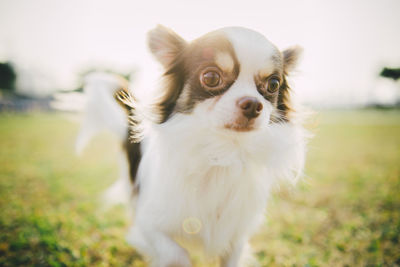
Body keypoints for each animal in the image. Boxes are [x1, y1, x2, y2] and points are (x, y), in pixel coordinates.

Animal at [79, 25, 310, 267]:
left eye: (273, 84)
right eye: (211, 77)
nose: (253, 104)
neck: (221, 152)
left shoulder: (235, 237)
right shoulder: (147, 225)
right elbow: (177, 254)